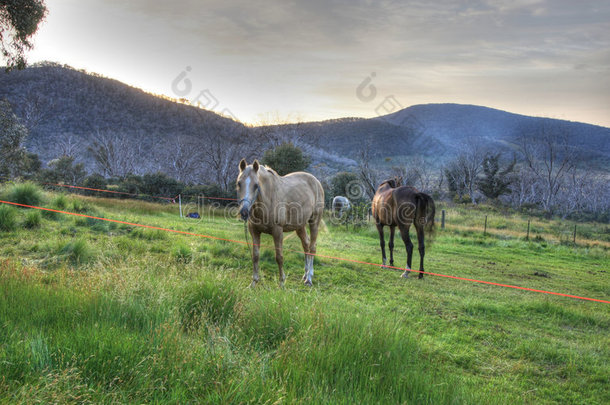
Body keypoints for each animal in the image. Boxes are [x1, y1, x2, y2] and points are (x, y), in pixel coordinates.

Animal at [236, 159, 324, 288]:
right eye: (239, 183)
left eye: (256, 185)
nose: (244, 211)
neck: (268, 198)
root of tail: (316, 181)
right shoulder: (254, 231)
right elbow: (255, 256)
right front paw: (253, 282)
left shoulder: (277, 231)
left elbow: (279, 257)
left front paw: (282, 283)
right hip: (300, 226)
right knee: (306, 245)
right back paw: (305, 274)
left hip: (314, 222)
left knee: (312, 248)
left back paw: (309, 278)